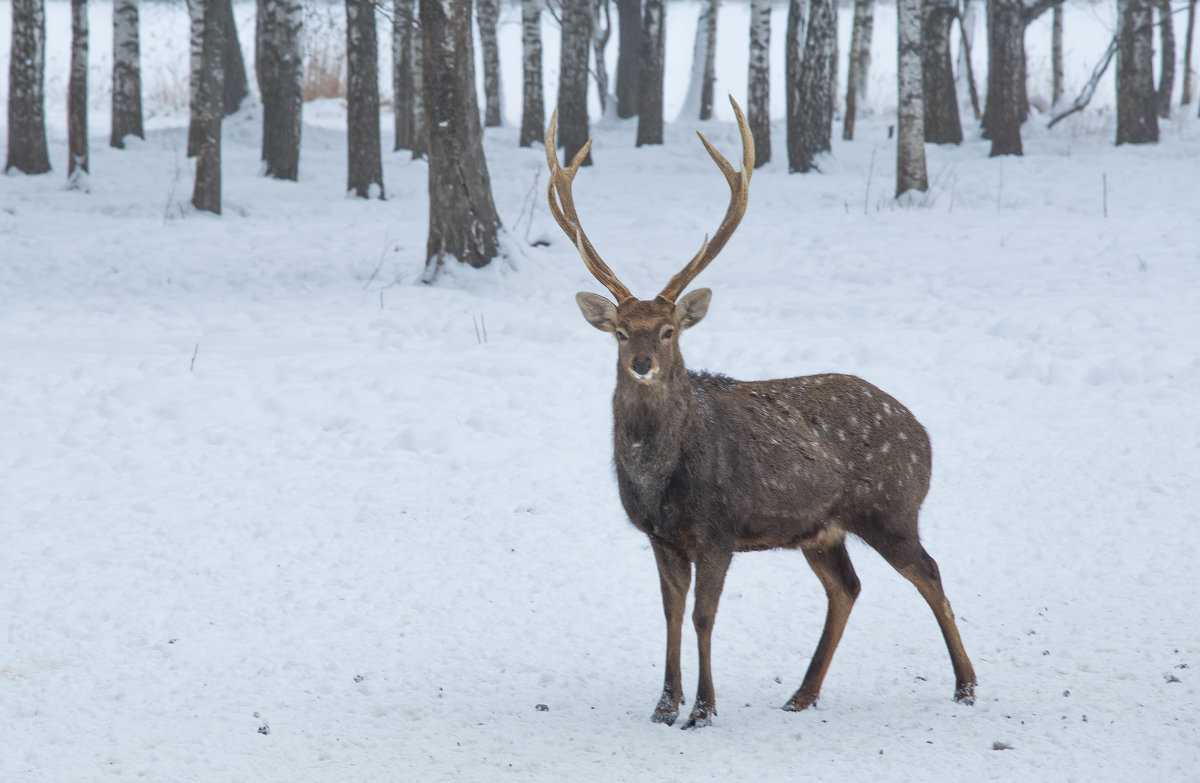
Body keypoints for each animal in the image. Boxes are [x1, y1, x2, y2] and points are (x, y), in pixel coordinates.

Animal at [544, 96, 974, 730]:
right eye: (621, 331)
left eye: (668, 330)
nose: (643, 363)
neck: (659, 478)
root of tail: (924, 434)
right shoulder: (660, 535)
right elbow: (669, 614)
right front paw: (663, 706)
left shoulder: (719, 528)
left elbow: (703, 616)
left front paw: (702, 710)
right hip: (820, 530)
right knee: (847, 587)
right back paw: (802, 694)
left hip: (892, 508)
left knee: (930, 572)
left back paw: (966, 686)